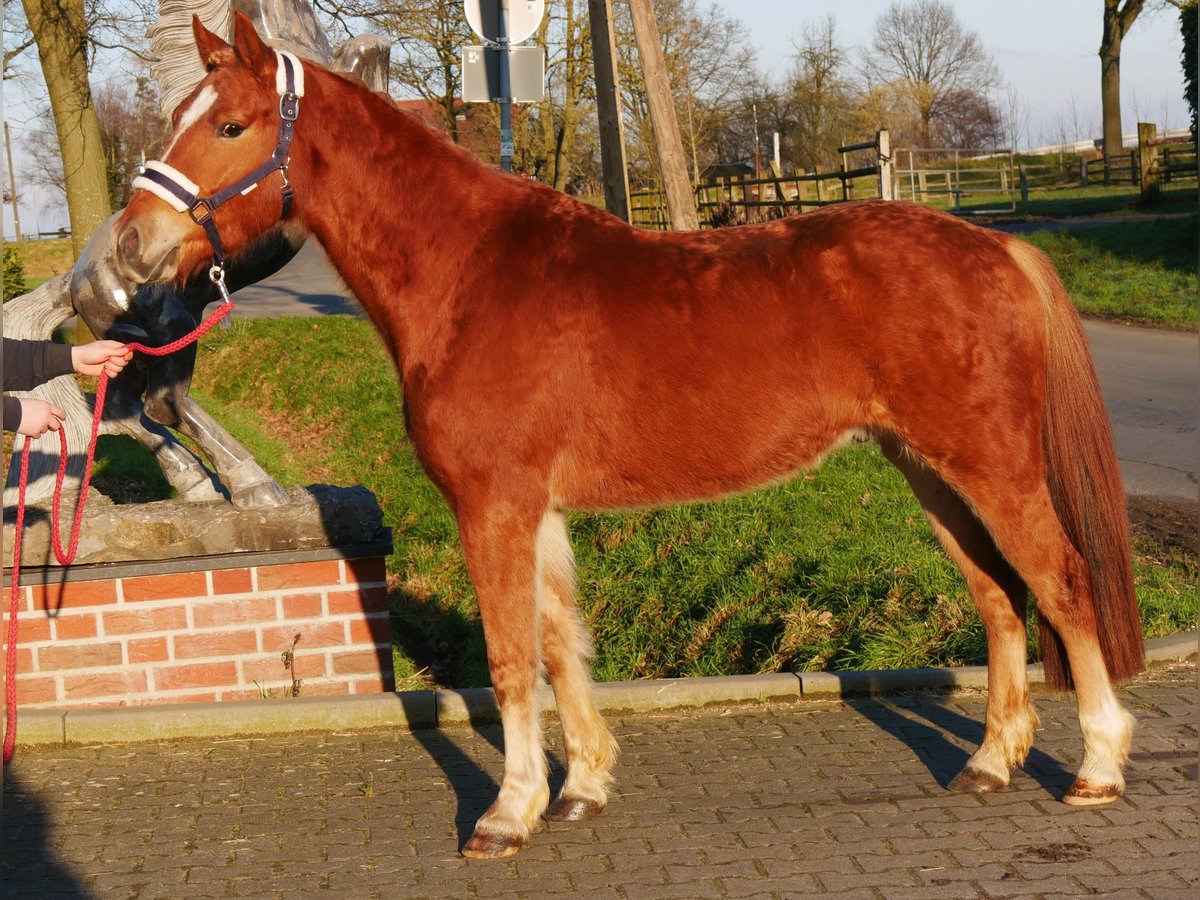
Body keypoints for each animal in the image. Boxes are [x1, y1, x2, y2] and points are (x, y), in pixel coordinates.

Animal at [119, 14, 1142, 859]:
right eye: (177, 115)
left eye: (231, 126)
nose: (132, 247)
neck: (469, 274)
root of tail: (997, 246)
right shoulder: (537, 511)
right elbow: (561, 642)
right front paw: (582, 788)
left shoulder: (493, 505)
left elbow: (510, 658)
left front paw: (508, 812)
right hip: (931, 474)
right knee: (1000, 598)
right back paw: (992, 763)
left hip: (992, 469)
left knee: (1060, 580)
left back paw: (1097, 766)